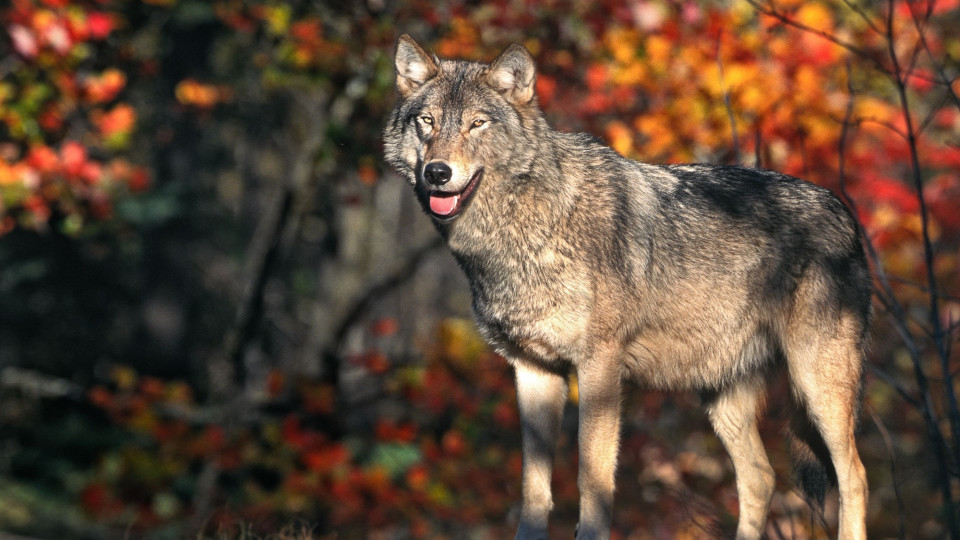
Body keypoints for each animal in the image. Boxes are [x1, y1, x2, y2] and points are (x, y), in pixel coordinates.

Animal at [380, 34, 872, 540]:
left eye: (477, 123)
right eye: (426, 122)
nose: (437, 172)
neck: (522, 230)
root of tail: (842, 209)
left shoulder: (600, 366)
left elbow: (593, 480)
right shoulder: (533, 370)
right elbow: (533, 488)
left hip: (817, 384)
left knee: (853, 474)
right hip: (722, 395)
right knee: (760, 476)